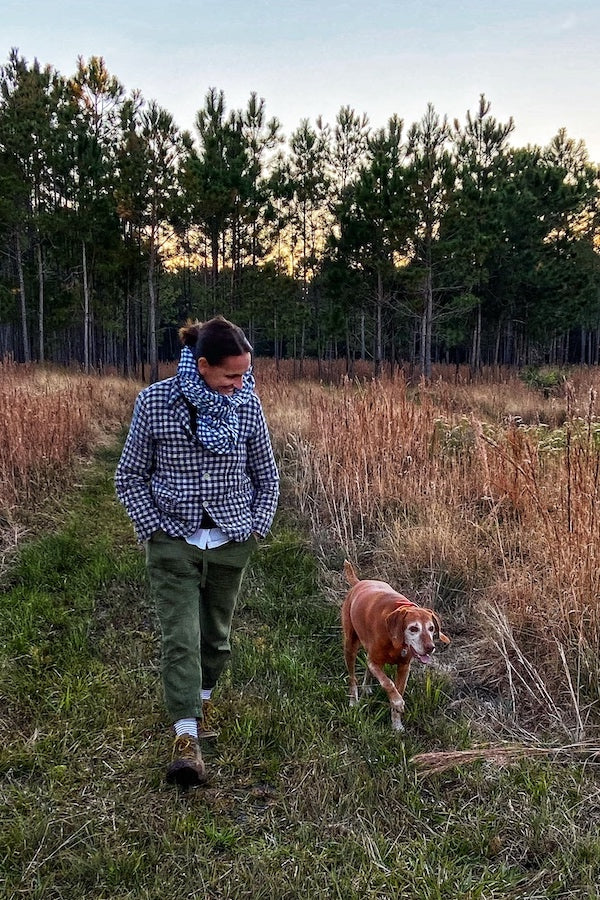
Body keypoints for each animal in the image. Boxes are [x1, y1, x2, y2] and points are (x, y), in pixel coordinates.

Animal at [342, 564, 450, 732]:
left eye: (431, 628)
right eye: (413, 628)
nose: (430, 647)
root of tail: (359, 583)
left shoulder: (404, 668)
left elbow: (396, 689)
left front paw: (397, 724)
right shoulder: (375, 662)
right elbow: (388, 683)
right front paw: (398, 703)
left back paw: (367, 687)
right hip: (350, 645)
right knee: (352, 677)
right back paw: (353, 700)